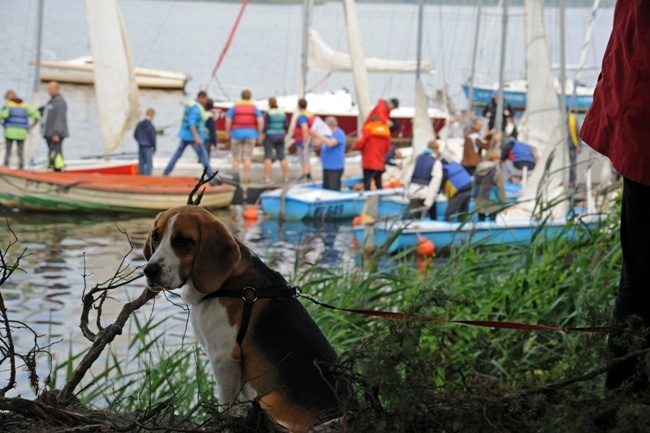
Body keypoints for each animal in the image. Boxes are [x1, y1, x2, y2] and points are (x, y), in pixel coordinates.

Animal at [142, 204, 340, 430]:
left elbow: (226, 403)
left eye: (183, 241)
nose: (149, 270)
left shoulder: (224, 356)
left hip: (268, 400)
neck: (228, 281)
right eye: (155, 237)